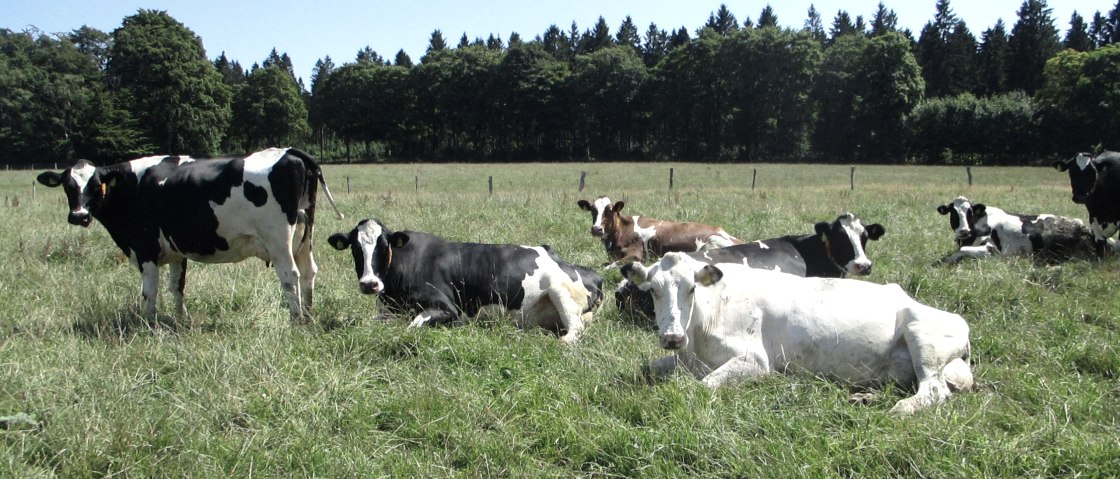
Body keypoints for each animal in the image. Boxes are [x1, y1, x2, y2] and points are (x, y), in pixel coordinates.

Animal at [36, 147, 341, 323]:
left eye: (95, 184)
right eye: (67, 186)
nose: (78, 216)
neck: (131, 186)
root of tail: (289, 151)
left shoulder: (145, 247)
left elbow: (150, 291)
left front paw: (149, 325)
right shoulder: (175, 250)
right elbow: (177, 287)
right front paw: (181, 321)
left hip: (278, 240)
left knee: (291, 277)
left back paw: (296, 320)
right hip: (304, 236)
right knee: (309, 271)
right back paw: (309, 315)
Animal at [327, 219, 603, 342]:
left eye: (383, 247)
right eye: (355, 248)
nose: (369, 283)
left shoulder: (448, 308)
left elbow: (411, 327)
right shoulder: (385, 313)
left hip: (562, 293)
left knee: (574, 331)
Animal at [576, 196, 741, 265]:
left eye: (610, 210)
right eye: (592, 210)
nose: (596, 229)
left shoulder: (636, 255)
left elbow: (606, 268)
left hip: (712, 242)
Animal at [622, 253, 974, 416]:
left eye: (692, 288)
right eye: (653, 290)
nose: (672, 338)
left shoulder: (755, 360)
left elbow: (703, 386)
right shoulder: (686, 360)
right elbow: (647, 369)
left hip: (922, 334)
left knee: (933, 390)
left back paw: (899, 409)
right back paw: (863, 397)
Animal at [936, 196, 1101, 263]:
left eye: (970, 212)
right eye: (953, 213)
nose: (963, 231)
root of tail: (1084, 227)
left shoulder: (994, 250)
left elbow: (961, 251)